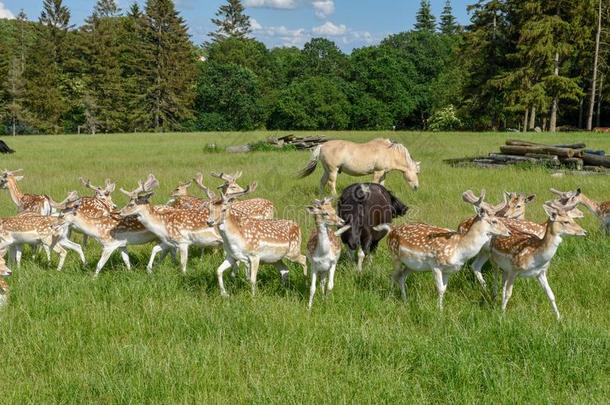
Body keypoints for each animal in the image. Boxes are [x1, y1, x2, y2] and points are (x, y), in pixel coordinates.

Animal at [376, 191, 508, 308]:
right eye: (494, 221)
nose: (508, 232)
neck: (459, 249)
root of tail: (391, 230)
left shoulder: (449, 270)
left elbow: (444, 289)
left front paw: (442, 308)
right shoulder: (435, 265)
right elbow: (439, 289)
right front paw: (439, 311)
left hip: (412, 265)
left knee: (401, 277)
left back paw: (405, 300)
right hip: (395, 257)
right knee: (393, 276)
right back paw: (390, 298)